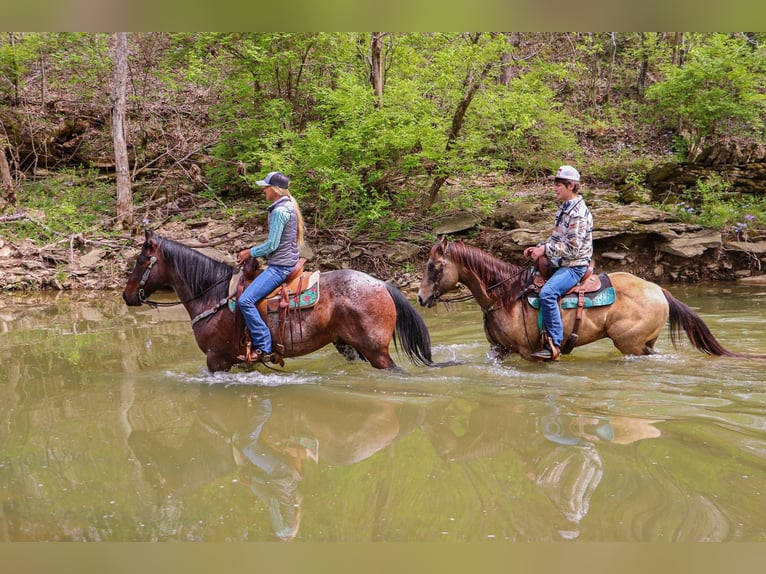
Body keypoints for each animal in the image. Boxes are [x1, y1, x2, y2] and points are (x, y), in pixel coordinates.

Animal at [121, 231, 444, 374]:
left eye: (140, 261)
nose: (126, 295)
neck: (212, 296)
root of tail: (382, 284)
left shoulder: (216, 360)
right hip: (349, 346)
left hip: (376, 351)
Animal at [420, 238, 766, 364]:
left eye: (434, 266)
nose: (422, 297)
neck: (506, 295)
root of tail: (659, 290)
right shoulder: (499, 350)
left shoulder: (530, 353)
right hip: (645, 343)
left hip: (631, 344)